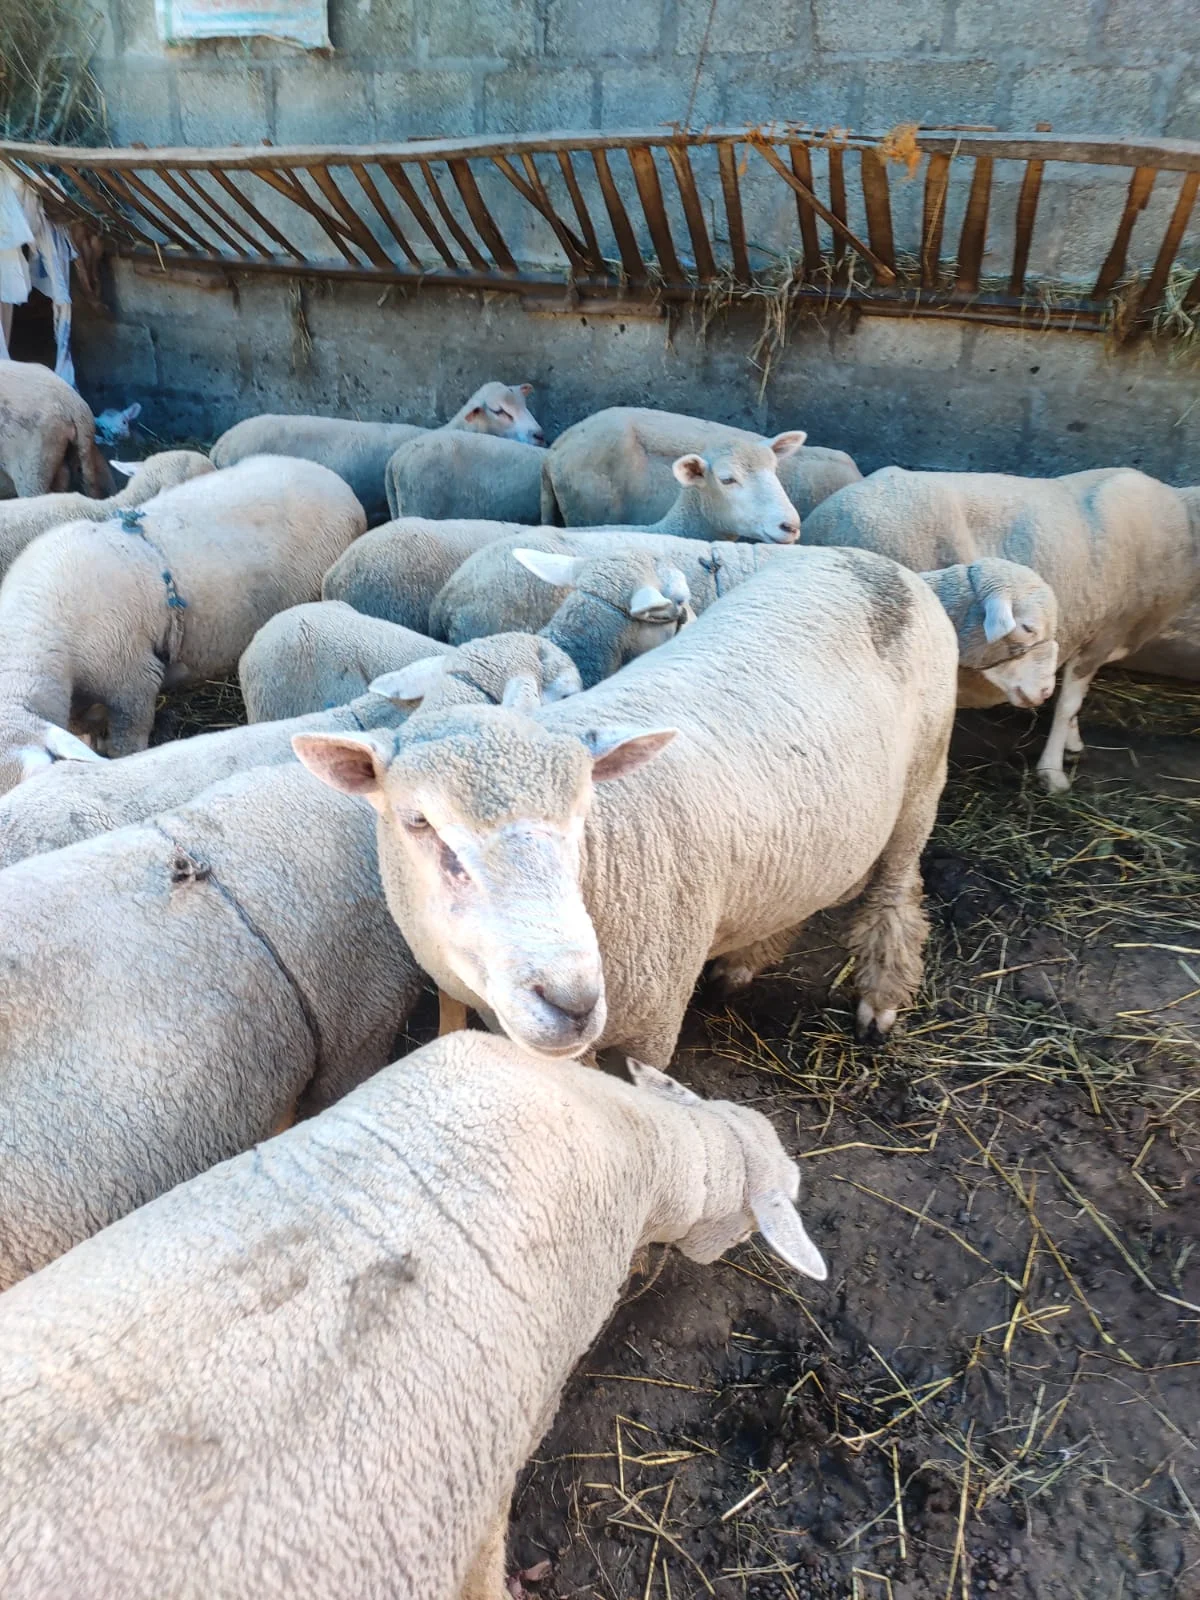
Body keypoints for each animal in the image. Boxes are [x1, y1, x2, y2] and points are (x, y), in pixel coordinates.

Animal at [296, 548, 959, 1065]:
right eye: (418, 821)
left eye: (583, 809)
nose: (573, 1000)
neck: (602, 868)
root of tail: (877, 562)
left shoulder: (652, 1024)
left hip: (925, 777)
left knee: (896, 889)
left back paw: (879, 1000)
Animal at [802, 466, 1200, 790]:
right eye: (1025, 627)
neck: (1183, 525)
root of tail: (822, 523)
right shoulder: (1103, 633)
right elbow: (1069, 703)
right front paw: (1053, 772)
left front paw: (1072, 743)